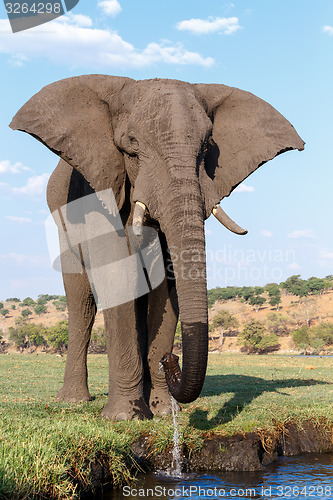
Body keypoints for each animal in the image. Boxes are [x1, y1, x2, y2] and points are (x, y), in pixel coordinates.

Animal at [9, 74, 304, 420]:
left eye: (207, 147)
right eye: (131, 146)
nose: (171, 360)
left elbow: (167, 286)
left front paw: (162, 412)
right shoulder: (99, 192)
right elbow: (117, 276)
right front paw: (124, 417)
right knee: (81, 301)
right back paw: (73, 401)